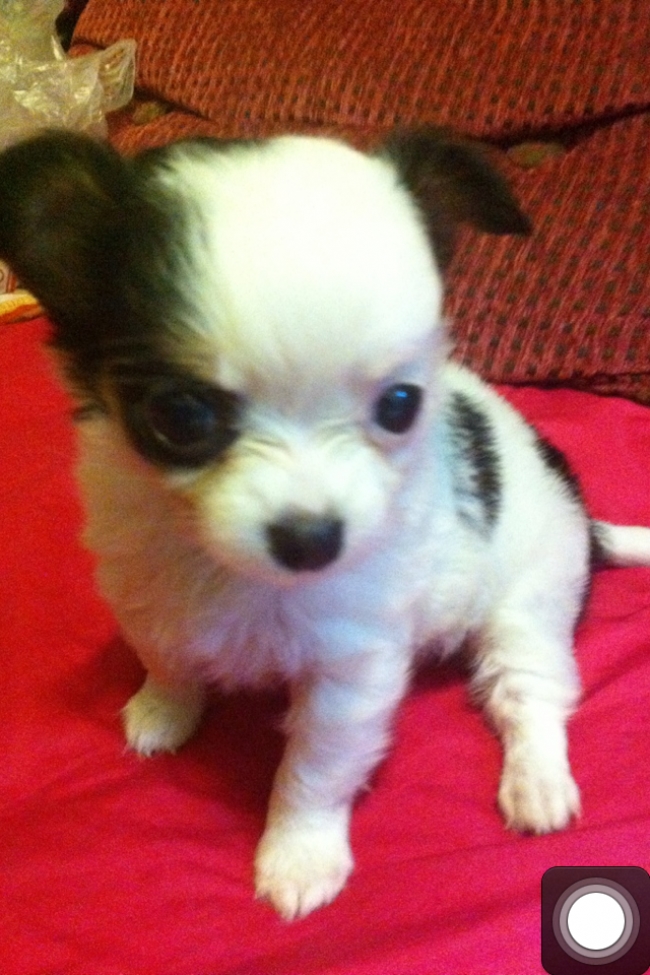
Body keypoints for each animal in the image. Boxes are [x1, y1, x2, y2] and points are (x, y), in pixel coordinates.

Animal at [1, 128, 650, 921]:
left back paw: (537, 783)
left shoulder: (351, 669)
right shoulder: (147, 587)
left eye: (401, 405)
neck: (226, 570)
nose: (312, 539)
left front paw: (299, 853)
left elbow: (315, 765)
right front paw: (163, 709)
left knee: (531, 695)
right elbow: (169, 657)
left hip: (531, 600)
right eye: (179, 416)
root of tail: (578, 506)